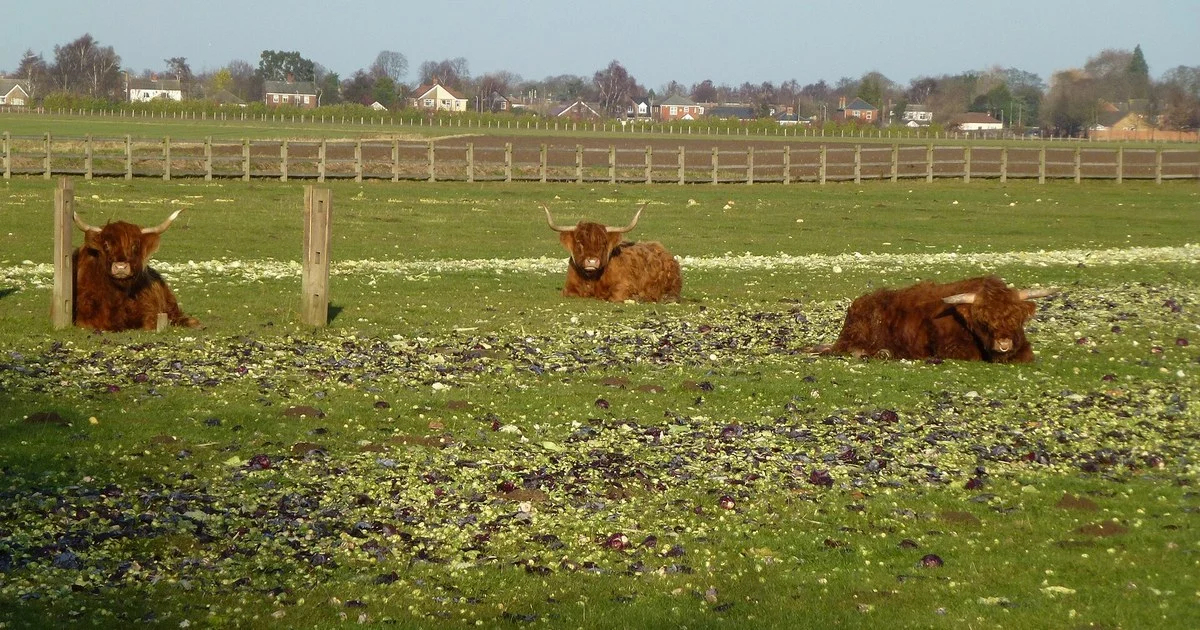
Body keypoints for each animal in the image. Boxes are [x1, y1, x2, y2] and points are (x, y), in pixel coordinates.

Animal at [542, 203, 682, 303]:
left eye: (604, 243)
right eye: (579, 242)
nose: (592, 261)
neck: (591, 279)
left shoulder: (623, 286)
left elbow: (615, 296)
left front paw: (637, 297)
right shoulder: (568, 288)